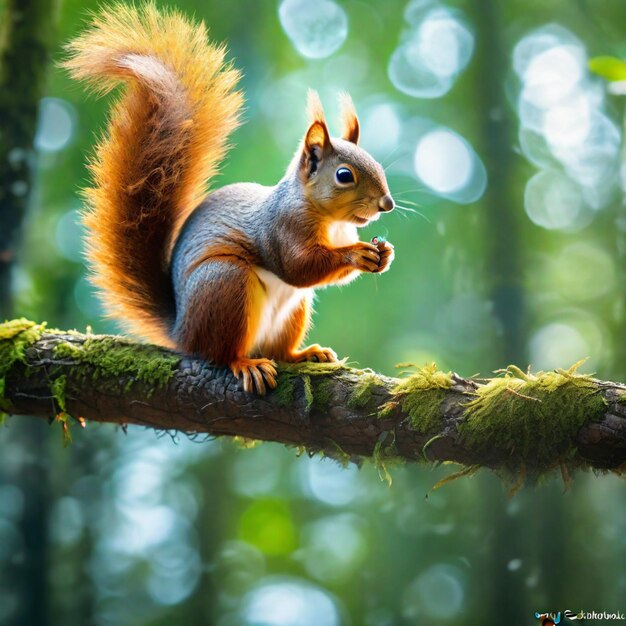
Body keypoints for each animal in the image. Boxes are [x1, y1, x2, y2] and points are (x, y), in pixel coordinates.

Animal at [64, 4, 394, 392]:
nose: (386, 204)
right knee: (220, 353)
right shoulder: (283, 227)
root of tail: (182, 332)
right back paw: (245, 363)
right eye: (344, 176)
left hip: (292, 310)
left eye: (376, 163)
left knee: (279, 351)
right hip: (225, 284)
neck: (332, 222)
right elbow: (298, 267)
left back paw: (304, 354)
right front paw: (357, 254)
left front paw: (384, 254)